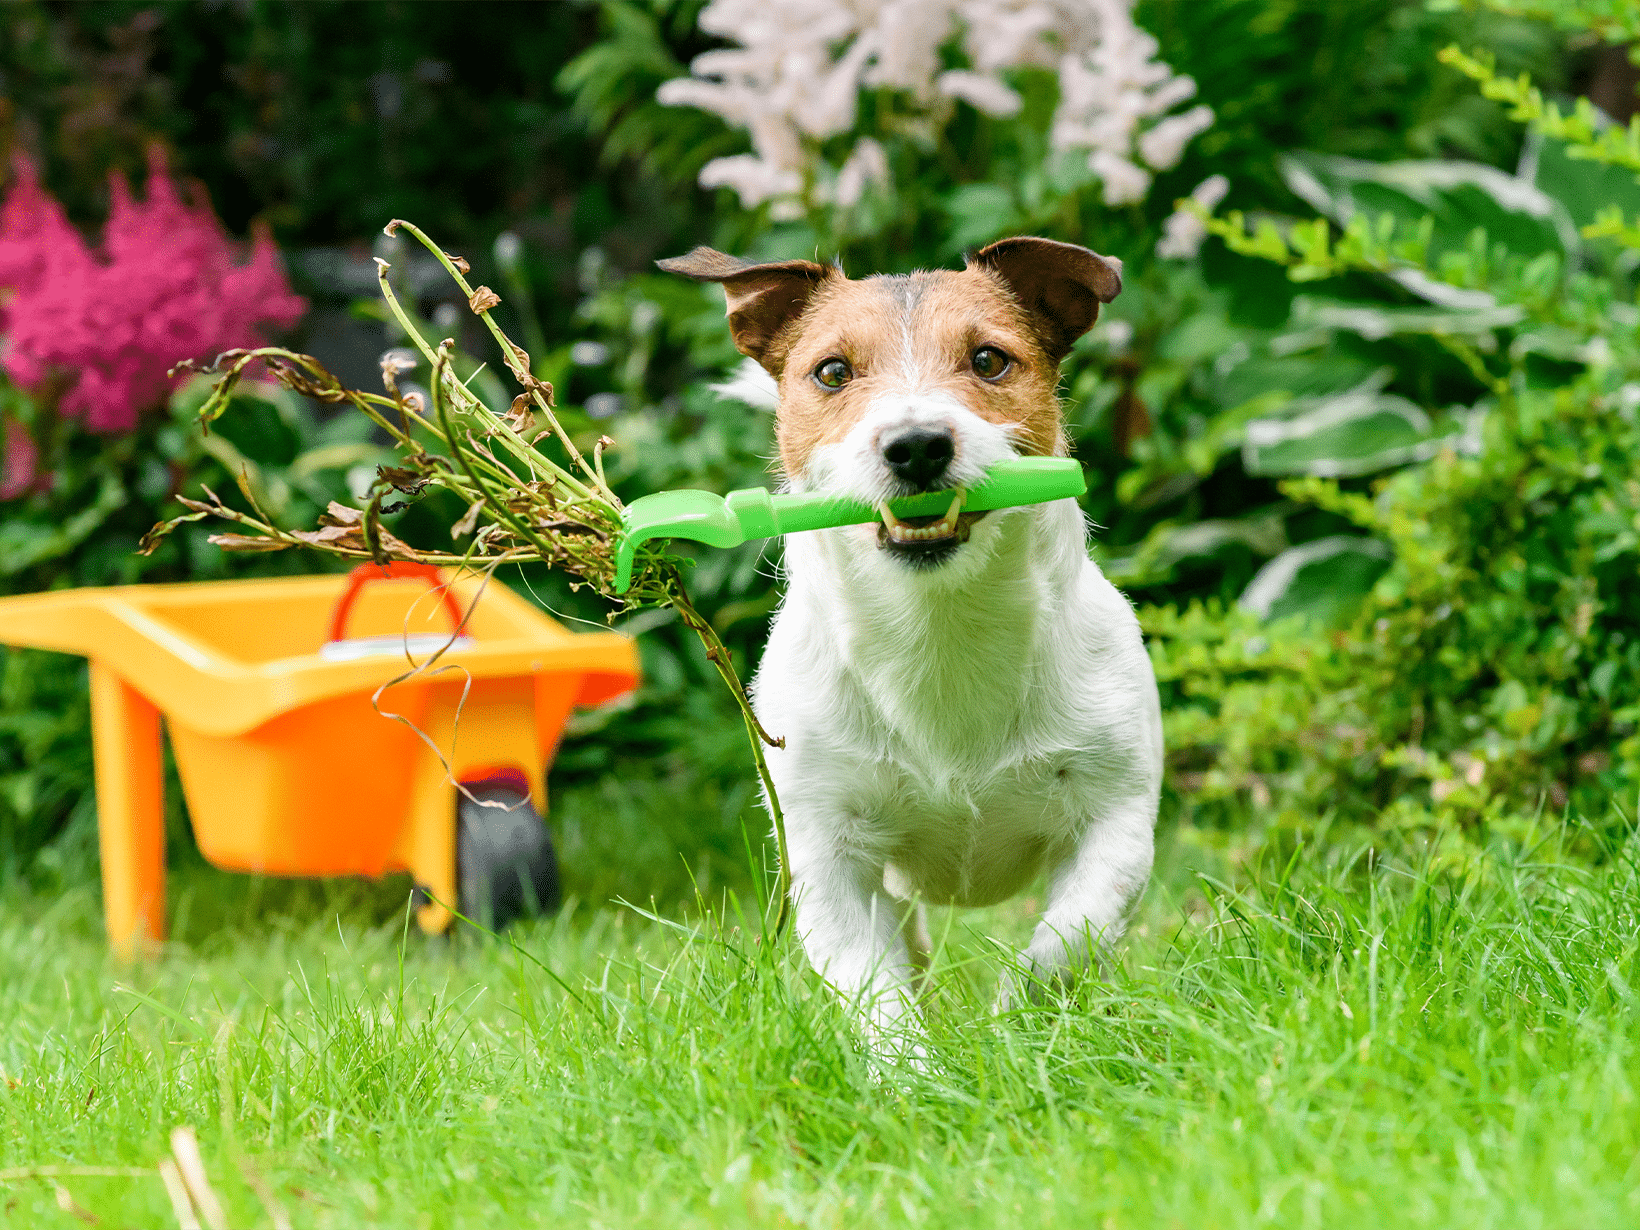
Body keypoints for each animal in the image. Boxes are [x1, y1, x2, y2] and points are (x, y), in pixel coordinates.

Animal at [659, 237, 1161, 1049]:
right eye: (832, 372)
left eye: (989, 360)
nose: (917, 445)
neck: (939, 630)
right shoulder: (829, 857)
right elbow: (876, 994)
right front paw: (912, 1070)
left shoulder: (1114, 821)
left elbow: (1062, 946)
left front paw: (1011, 1031)